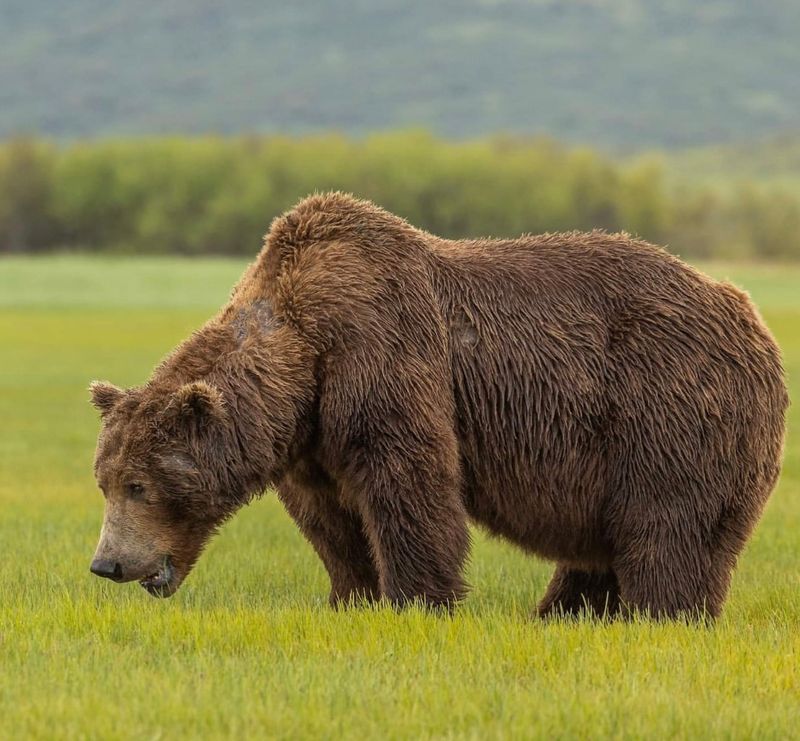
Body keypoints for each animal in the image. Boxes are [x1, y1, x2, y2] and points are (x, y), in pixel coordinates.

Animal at [88, 192, 788, 619]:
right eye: (105, 481)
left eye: (140, 484)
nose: (107, 563)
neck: (303, 351)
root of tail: (751, 316)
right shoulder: (312, 437)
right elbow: (331, 519)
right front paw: (351, 595)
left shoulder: (380, 353)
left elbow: (409, 483)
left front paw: (418, 599)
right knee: (602, 545)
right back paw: (562, 612)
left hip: (667, 408)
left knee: (664, 528)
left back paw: (657, 613)